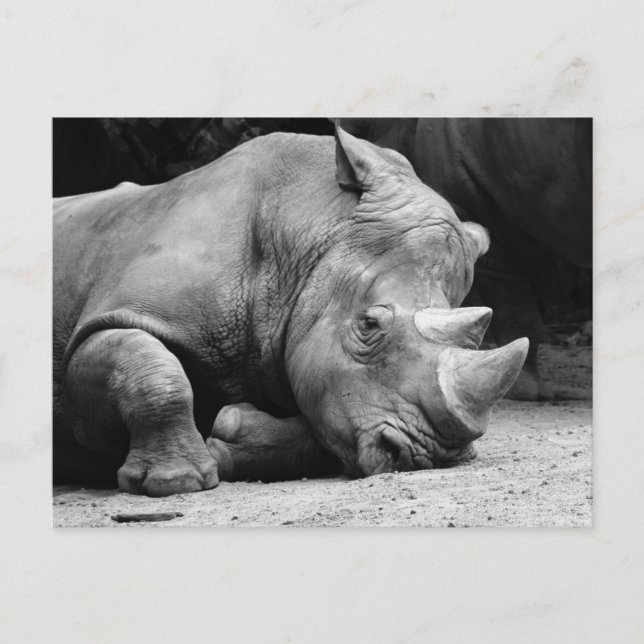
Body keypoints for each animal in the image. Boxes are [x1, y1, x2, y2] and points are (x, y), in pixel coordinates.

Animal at [53, 127, 528, 497]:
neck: (306, 235)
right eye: (368, 325)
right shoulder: (117, 318)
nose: (428, 455)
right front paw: (175, 483)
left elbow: (323, 422)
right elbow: (146, 367)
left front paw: (229, 435)